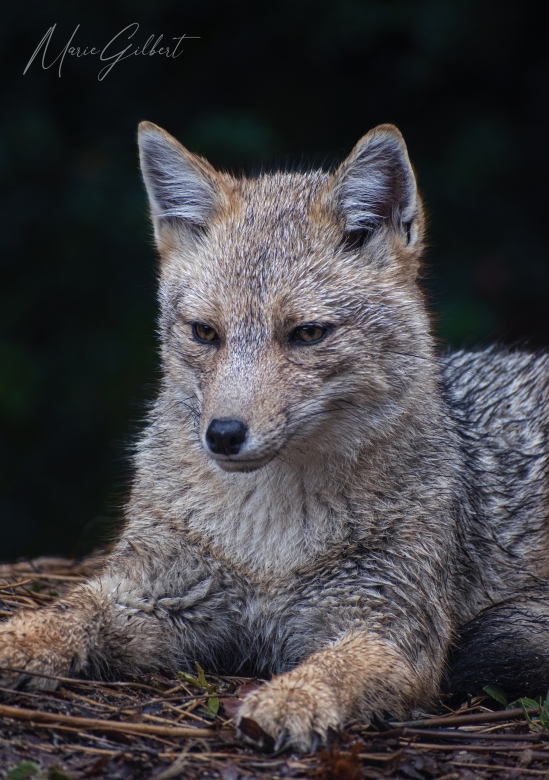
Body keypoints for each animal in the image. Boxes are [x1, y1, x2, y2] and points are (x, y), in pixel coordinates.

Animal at [1, 123, 548, 756]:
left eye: (307, 334)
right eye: (205, 333)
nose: (223, 435)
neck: (266, 541)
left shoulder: (391, 627)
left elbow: (336, 667)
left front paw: (291, 699)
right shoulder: (153, 589)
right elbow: (70, 609)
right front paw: (18, 637)